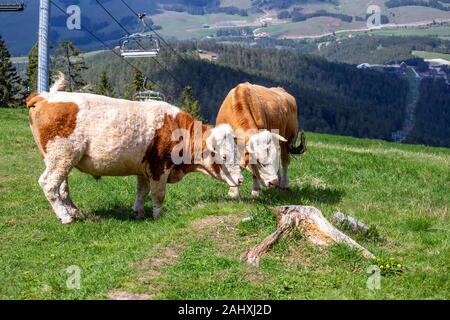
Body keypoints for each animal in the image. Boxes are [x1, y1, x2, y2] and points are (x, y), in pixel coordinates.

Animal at [26, 74, 244, 224]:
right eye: (224, 156)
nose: (241, 179)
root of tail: (45, 96)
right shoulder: (159, 167)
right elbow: (157, 194)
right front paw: (158, 215)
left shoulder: (144, 167)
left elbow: (142, 191)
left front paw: (138, 212)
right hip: (61, 156)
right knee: (48, 184)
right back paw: (65, 217)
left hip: (60, 159)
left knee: (62, 187)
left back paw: (74, 212)